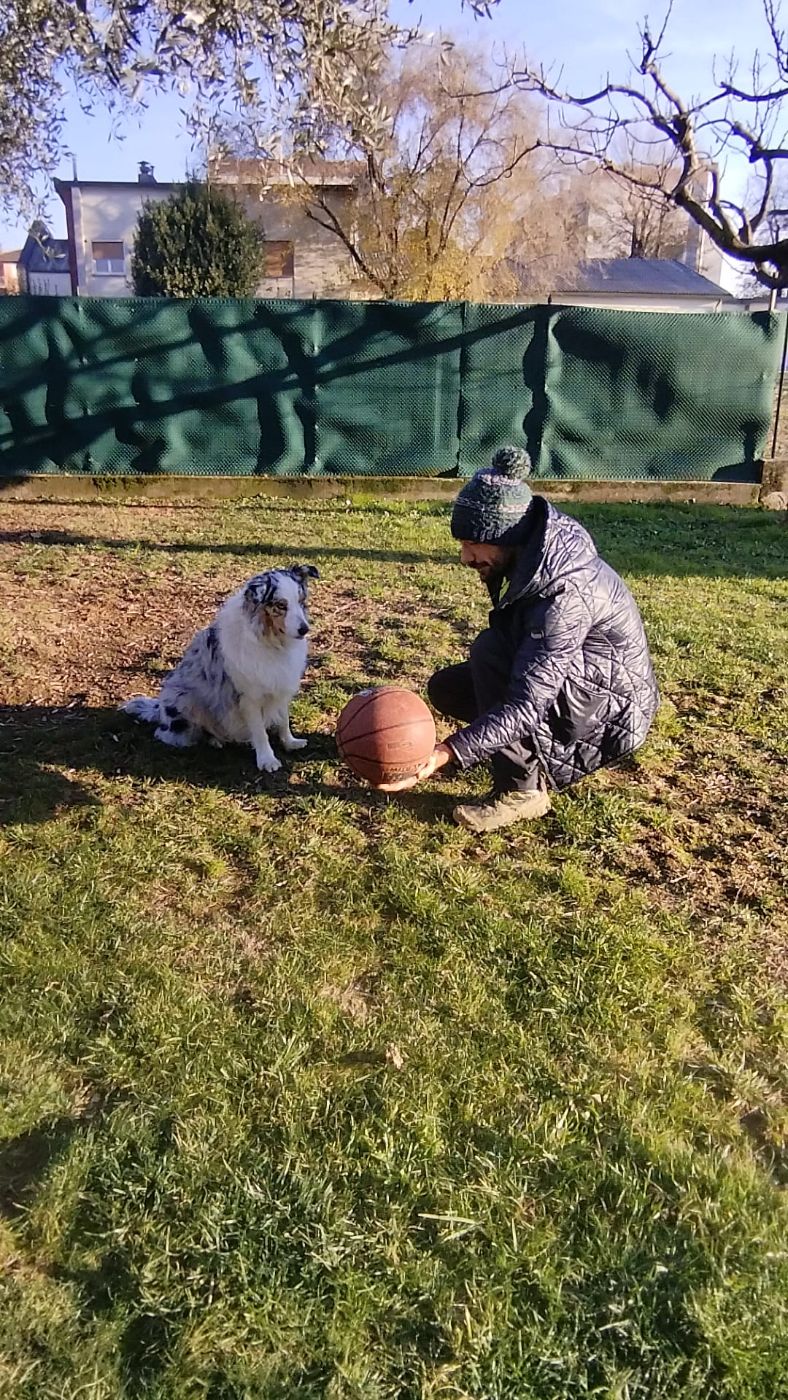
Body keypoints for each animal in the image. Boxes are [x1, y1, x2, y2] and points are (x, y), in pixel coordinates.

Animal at [121, 562, 319, 772]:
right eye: (281, 605)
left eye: (301, 601)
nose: (304, 629)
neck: (272, 641)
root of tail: (159, 709)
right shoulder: (249, 697)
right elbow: (259, 731)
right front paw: (267, 759)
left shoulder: (281, 683)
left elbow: (283, 719)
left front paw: (290, 742)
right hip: (184, 699)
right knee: (167, 734)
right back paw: (214, 740)